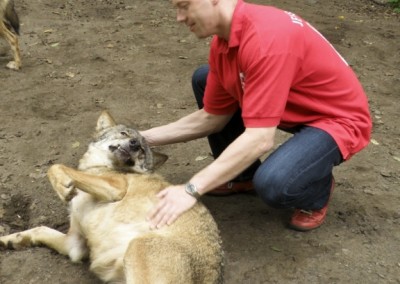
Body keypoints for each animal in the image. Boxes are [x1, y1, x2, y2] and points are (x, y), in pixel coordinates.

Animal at [0, 111, 223, 284]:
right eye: (125, 134)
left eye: (142, 151)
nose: (134, 143)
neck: (105, 166)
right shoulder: (74, 245)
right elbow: (39, 229)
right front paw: (9, 240)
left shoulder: (116, 188)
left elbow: (56, 166)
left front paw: (63, 187)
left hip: (138, 246)